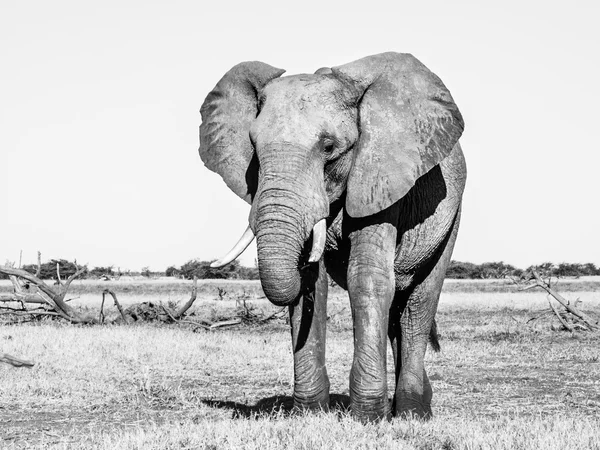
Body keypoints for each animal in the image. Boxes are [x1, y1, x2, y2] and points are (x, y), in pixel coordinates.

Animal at [199, 52, 466, 422]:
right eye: (253, 146)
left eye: (328, 147)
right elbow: (313, 284)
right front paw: (310, 414)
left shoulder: (379, 178)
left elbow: (366, 279)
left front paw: (368, 417)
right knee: (396, 312)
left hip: (452, 214)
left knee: (419, 303)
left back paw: (412, 413)